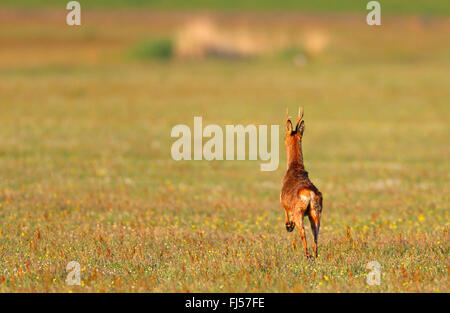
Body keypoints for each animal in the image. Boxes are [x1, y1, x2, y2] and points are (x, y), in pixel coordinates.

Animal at [280, 108, 322, 258]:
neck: (295, 168)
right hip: (316, 212)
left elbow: (286, 212)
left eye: (284, 137)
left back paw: (307, 254)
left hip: (300, 212)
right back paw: (315, 254)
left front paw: (288, 226)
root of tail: (310, 194)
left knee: (303, 231)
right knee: (316, 232)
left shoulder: (283, 202)